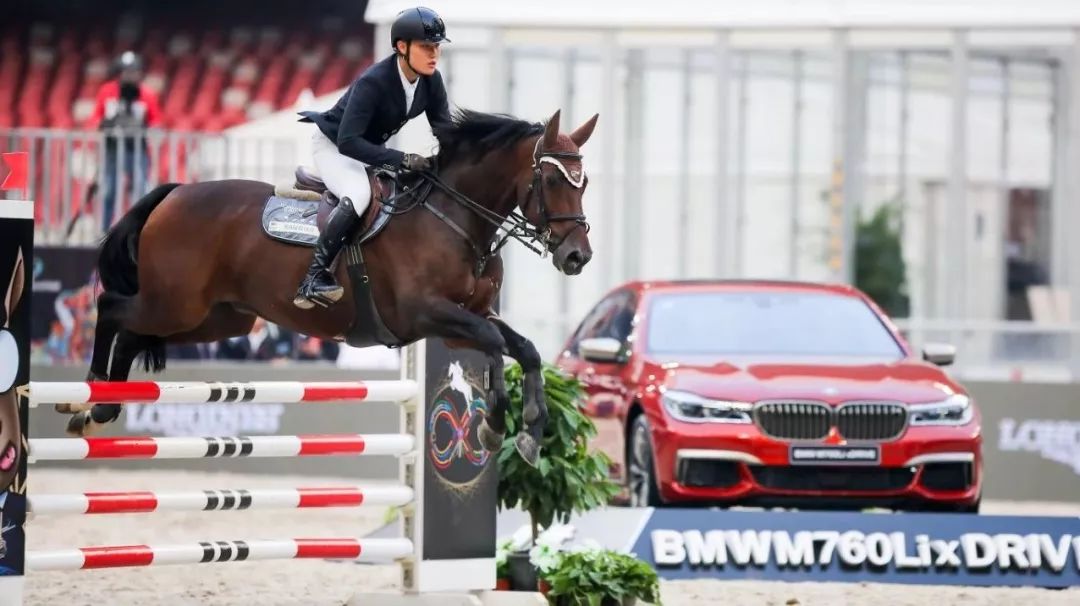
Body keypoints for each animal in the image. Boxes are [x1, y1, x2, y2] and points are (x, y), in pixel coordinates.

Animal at [54, 108, 600, 464]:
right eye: (554, 182)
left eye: (585, 183)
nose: (578, 257)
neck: (455, 218)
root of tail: (175, 192)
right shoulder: (428, 313)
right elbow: (492, 343)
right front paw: (492, 426)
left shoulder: (464, 320)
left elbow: (524, 349)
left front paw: (530, 433)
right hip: (174, 303)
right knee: (112, 308)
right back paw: (84, 395)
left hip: (215, 318)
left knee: (132, 332)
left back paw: (100, 408)